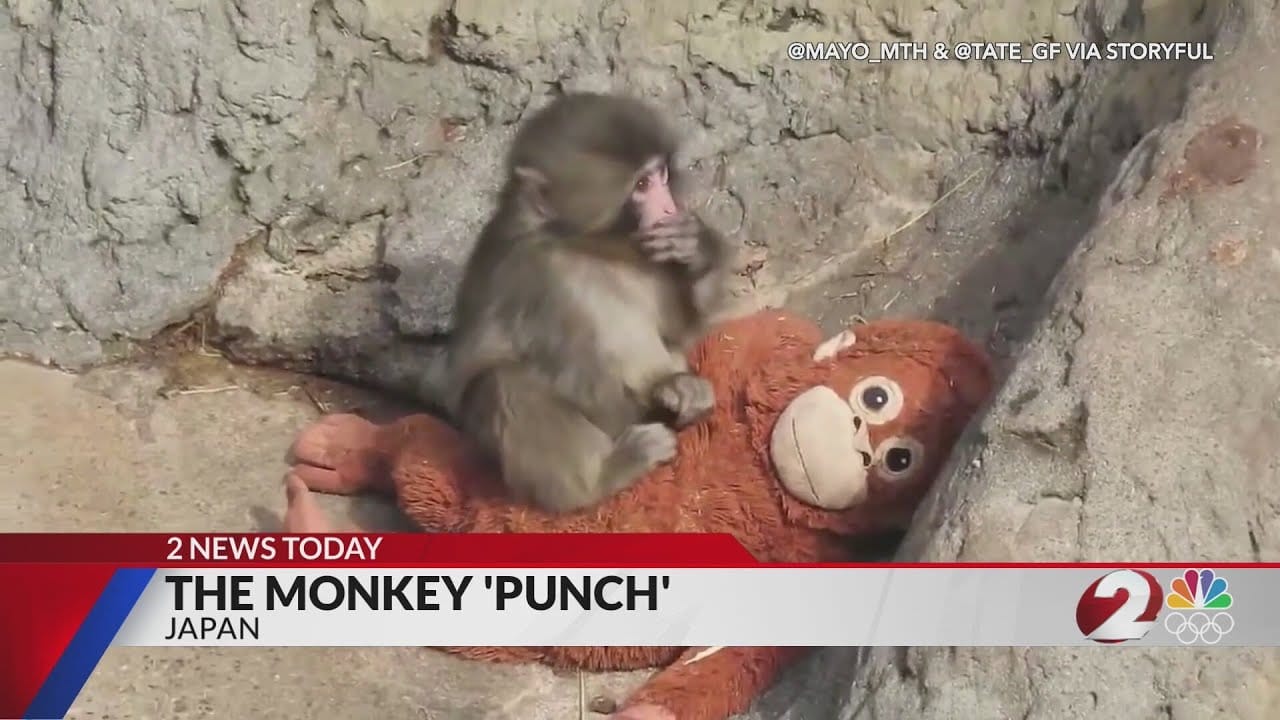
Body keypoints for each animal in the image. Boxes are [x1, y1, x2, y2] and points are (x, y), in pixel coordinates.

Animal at [441, 92, 734, 514]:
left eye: (660, 174)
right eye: (641, 184)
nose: (669, 209)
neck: (586, 248)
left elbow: (677, 328)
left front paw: (698, 250)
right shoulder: (542, 279)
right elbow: (590, 388)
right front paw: (667, 394)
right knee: (503, 384)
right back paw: (601, 478)